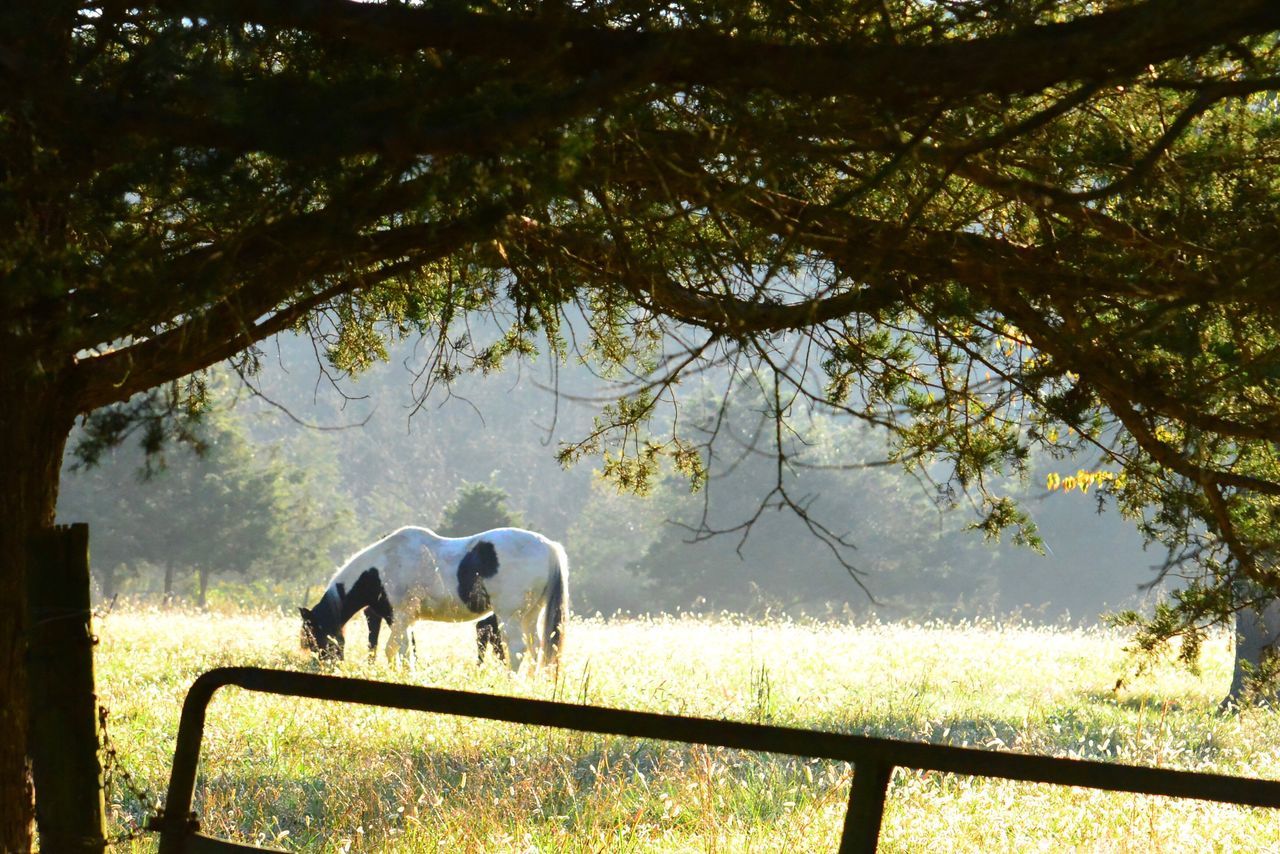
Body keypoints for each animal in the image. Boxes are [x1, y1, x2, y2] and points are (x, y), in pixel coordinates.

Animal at [302, 524, 568, 670]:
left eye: (314, 636)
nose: (326, 667)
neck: (381, 567)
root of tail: (548, 546)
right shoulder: (402, 619)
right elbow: (405, 651)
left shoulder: (399, 616)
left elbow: (391, 649)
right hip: (530, 615)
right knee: (536, 648)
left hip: (509, 616)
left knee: (517, 649)